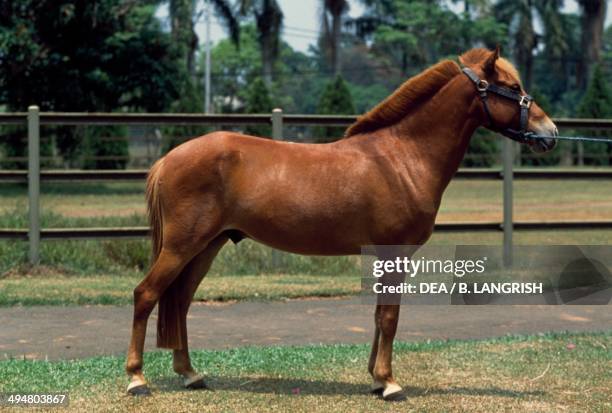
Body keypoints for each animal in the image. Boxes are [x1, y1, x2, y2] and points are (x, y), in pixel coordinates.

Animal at [126, 47, 556, 400]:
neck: (402, 157)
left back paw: (190, 374)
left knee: (180, 301)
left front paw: (376, 379)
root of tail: (168, 158)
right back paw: (137, 380)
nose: (549, 133)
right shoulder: (395, 253)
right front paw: (390, 384)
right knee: (146, 295)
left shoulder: (385, 257)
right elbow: (390, 316)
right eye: (512, 87)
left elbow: (380, 315)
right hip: (182, 245)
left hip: (206, 247)